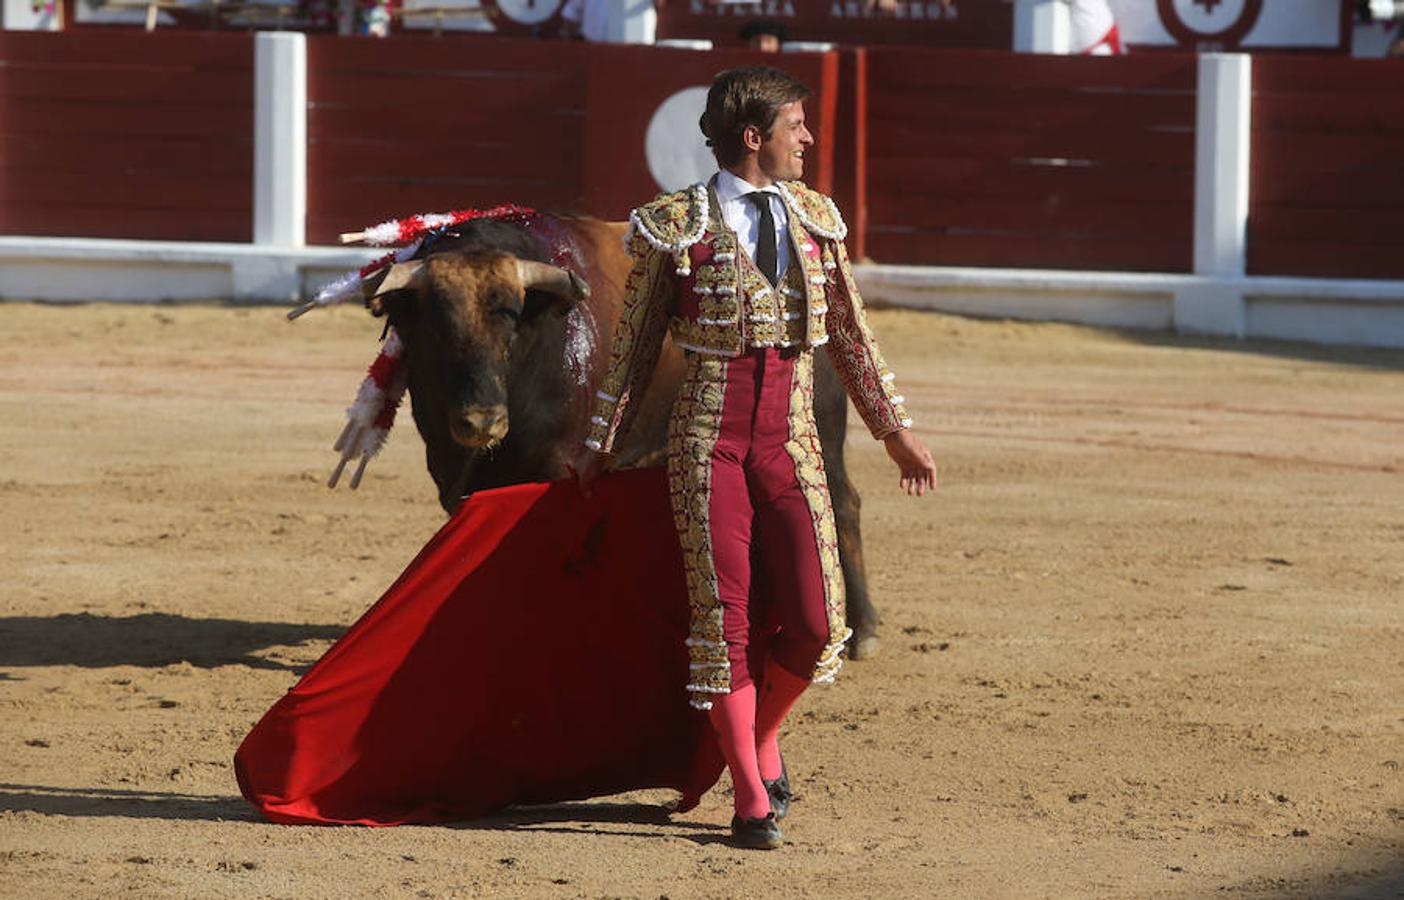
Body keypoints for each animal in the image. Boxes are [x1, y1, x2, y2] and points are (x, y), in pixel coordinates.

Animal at [362, 213, 887, 657]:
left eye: (511, 321)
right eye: (436, 328)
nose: (481, 420)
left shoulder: (559, 474)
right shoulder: (455, 480)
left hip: (820, 428)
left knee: (842, 501)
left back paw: (860, 630)